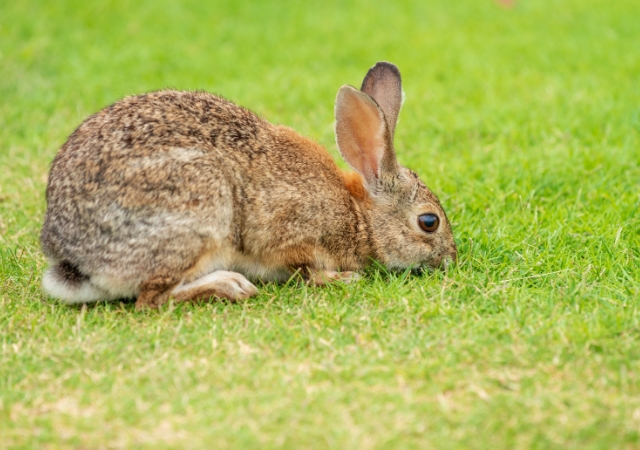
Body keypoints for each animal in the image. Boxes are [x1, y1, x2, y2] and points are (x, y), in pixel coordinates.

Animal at [40, 61, 458, 310]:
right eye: (429, 222)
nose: (450, 259)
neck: (359, 216)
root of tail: (74, 258)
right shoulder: (291, 232)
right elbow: (305, 268)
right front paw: (342, 277)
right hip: (199, 211)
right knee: (152, 298)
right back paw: (229, 285)